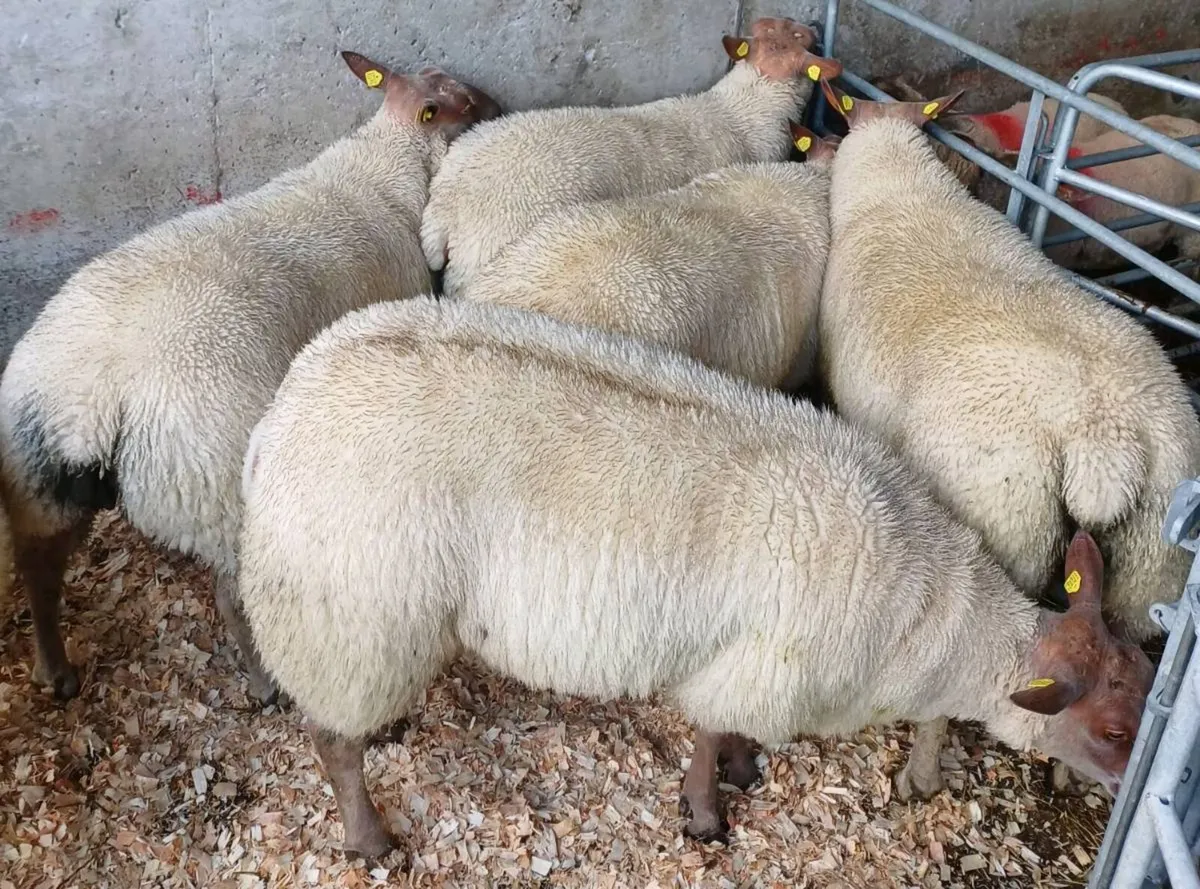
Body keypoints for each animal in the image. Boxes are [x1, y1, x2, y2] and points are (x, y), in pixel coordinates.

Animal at [0, 51, 500, 704]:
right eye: (464, 101)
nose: (501, 106)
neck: (384, 161)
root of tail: (94, 402)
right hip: (219, 493)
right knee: (232, 597)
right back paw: (265, 684)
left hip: (41, 482)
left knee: (39, 568)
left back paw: (53, 671)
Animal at [237, 293, 1152, 860]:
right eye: (1112, 730)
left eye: (1146, 673)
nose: (1130, 788)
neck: (933, 616)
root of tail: (284, 410)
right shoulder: (759, 663)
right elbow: (710, 735)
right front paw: (710, 811)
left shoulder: (766, 668)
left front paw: (744, 770)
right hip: (351, 609)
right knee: (331, 740)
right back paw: (369, 837)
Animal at [814, 79, 1198, 798]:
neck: (900, 187)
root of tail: (1104, 434)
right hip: (1148, 564)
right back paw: (1074, 775)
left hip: (1005, 519)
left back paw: (921, 773)